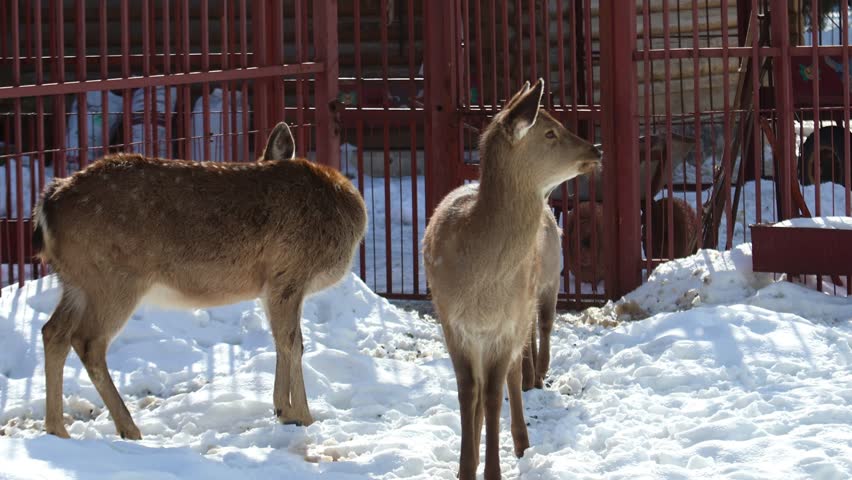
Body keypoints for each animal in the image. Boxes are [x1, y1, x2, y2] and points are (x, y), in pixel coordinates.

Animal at [33, 122, 367, 440]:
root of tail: (48, 204)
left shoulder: (269, 287)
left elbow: (280, 341)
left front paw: (283, 411)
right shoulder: (291, 273)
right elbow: (293, 343)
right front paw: (303, 416)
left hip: (76, 281)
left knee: (54, 332)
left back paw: (57, 429)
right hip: (113, 278)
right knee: (87, 341)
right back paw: (129, 429)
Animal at [422, 79, 601, 479]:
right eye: (549, 132)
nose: (595, 149)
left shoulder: (507, 324)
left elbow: (493, 394)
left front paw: (492, 471)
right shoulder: (452, 323)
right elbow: (468, 392)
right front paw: (465, 468)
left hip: (530, 303)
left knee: (514, 376)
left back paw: (522, 441)